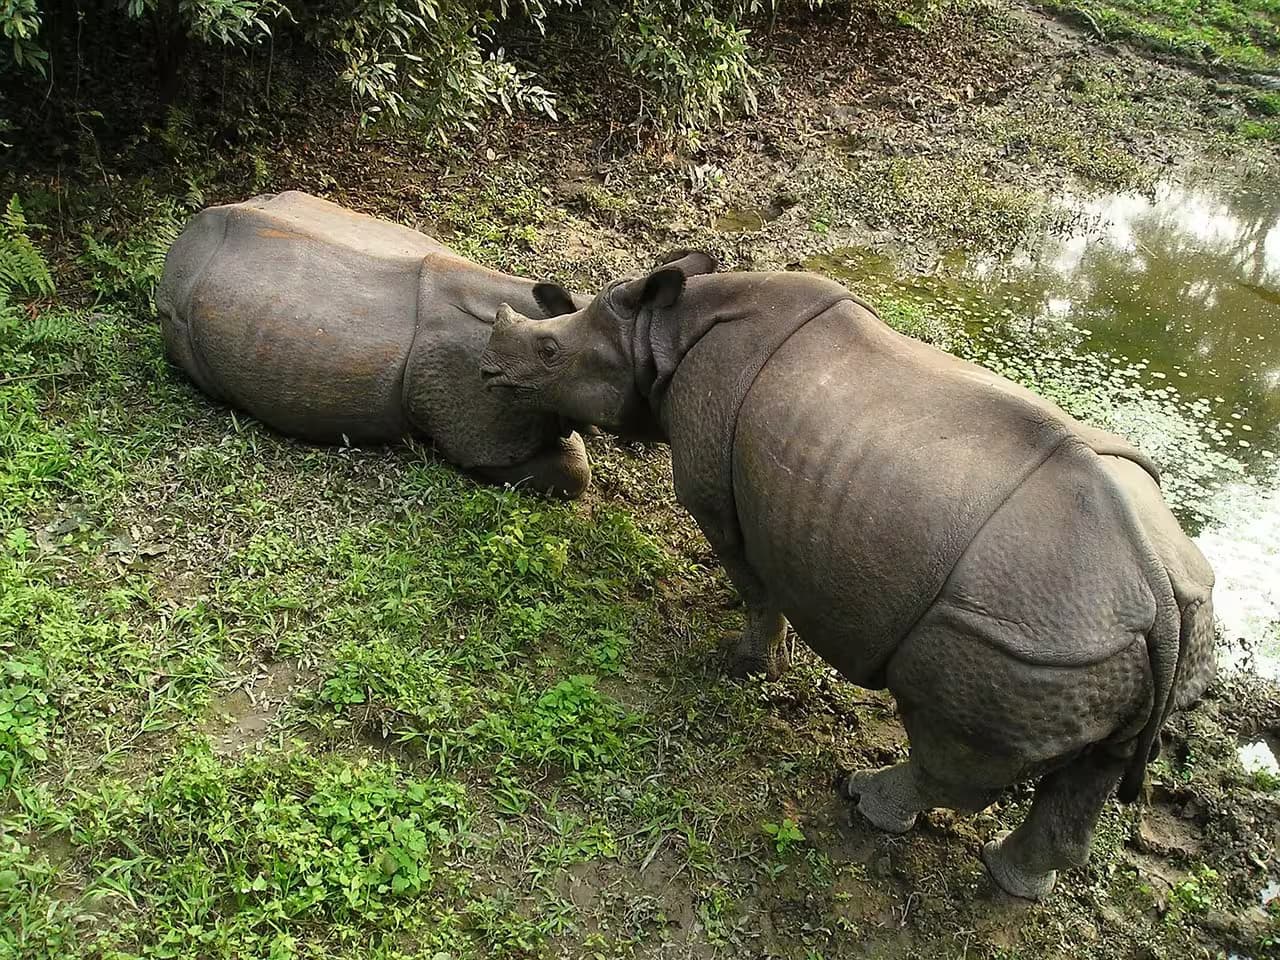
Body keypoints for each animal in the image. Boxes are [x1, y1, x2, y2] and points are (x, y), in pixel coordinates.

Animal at [477, 252, 1217, 900]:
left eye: (549, 353)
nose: (486, 370)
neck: (660, 334)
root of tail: (1155, 593)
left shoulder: (718, 498)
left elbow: (755, 588)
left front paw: (745, 666)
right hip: (1128, 631)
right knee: (1097, 768)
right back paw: (1015, 883)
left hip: (1025, 634)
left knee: (953, 753)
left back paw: (863, 800)